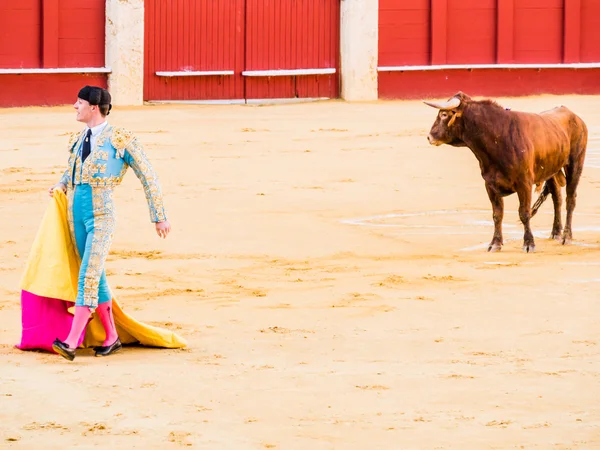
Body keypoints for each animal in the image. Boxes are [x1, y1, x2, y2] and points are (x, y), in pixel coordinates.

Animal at [424, 91, 588, 253]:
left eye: (444, 114)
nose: (429, 137)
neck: (497, 138)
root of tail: (575, 117)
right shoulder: (490, 184)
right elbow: (497, 214)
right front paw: (495, 243)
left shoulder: (524, 183)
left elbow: (524, 213)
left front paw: (529, 244)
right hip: (551, 170)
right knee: (557, 198)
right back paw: (555, 233)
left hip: (575, 163)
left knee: (570, 199)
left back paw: (567, 237)